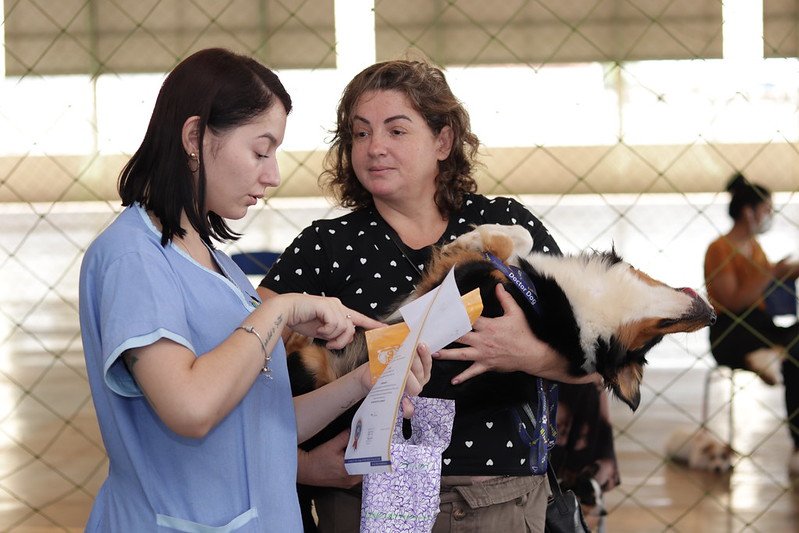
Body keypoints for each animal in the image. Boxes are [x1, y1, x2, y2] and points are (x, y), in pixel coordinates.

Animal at [290, 221, 720, 416]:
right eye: (660, 335)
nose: (714, 317)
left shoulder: (463, 285)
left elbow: (491, 250)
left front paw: (469, 238)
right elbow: (520, 240)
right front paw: (480, 236)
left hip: (312, 370)